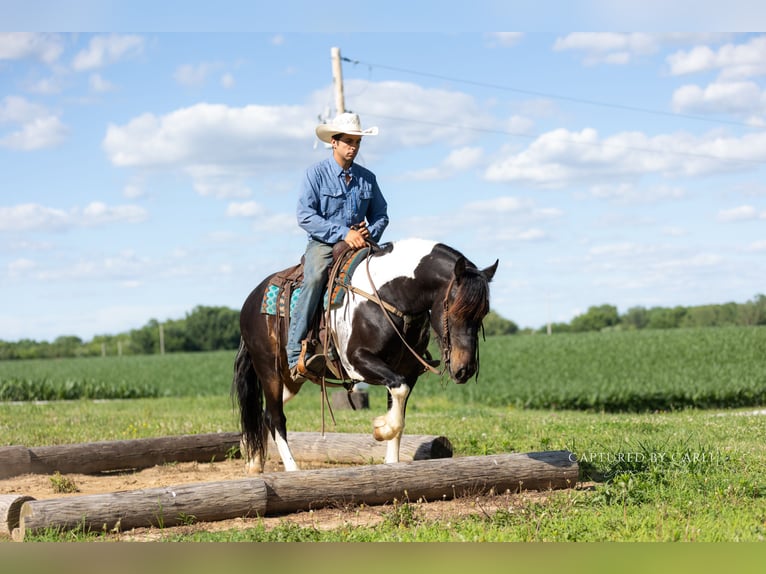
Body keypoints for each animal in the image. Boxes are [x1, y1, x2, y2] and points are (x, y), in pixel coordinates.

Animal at [232, 237, 498, 473]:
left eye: (483, 313)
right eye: (453, 309)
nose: (464, 369)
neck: (391, 295)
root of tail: (250, 301)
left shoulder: (407, 370)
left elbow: (399, 409)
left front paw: (391, 460)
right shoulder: (358, 361)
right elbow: (397, 396)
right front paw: (381, 427)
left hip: (290, 380)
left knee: (264, 412)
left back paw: (254, 462)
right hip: (269, 371)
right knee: (275, 417)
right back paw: (291, 468)